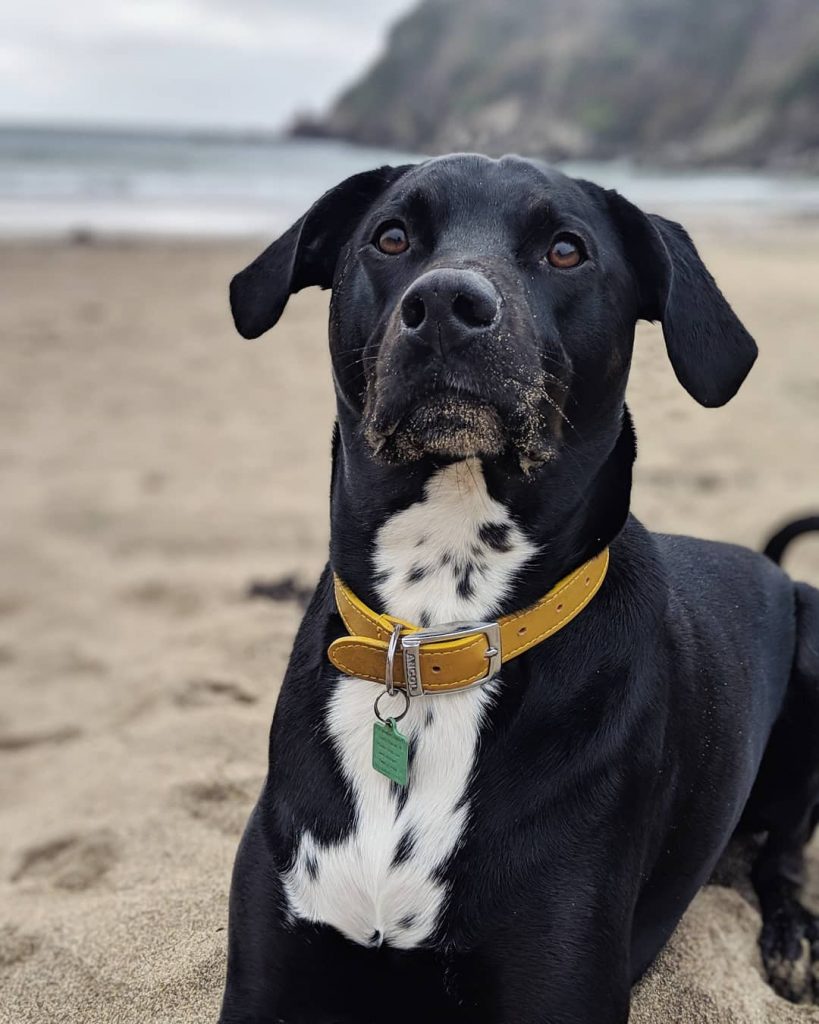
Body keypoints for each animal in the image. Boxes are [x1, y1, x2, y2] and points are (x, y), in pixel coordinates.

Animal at [213, 153, 814, 1024]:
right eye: (389, 236)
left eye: (566, 249)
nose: (445, 305)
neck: (434, 633)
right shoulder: (268, 973)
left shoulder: (556, 976)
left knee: (786, 854)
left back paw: (791, 937)